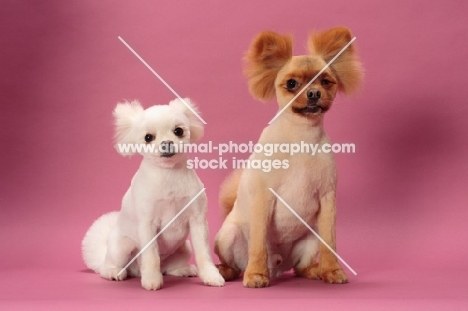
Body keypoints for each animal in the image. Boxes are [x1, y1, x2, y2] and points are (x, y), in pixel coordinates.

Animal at [81, 98, 225, 292]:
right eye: (148, 137)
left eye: (178, 131)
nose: (167, 143)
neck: (169, 174)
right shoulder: (148, 225)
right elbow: (151, 257)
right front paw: (151, 279)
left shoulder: (198, 221)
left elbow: (204, 254)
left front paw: (211, 276)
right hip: (121, 247)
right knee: (107, 267)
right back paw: (115, 272)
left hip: (185, 247)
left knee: (167, 268)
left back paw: (183, 269)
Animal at [214, 28, 364, 288]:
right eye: (292, 84)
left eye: (326, 82)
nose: (314, 93)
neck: (302, 138)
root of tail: (277, 267)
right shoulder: (263, 198)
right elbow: (258, 245)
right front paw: (256, 274)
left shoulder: (327, 200)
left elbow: (331, 244)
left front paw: (332, 270)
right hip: (226, 236)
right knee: (236, 262)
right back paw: (229, 271)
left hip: (311, 237)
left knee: (299, 268)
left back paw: (315, 270)